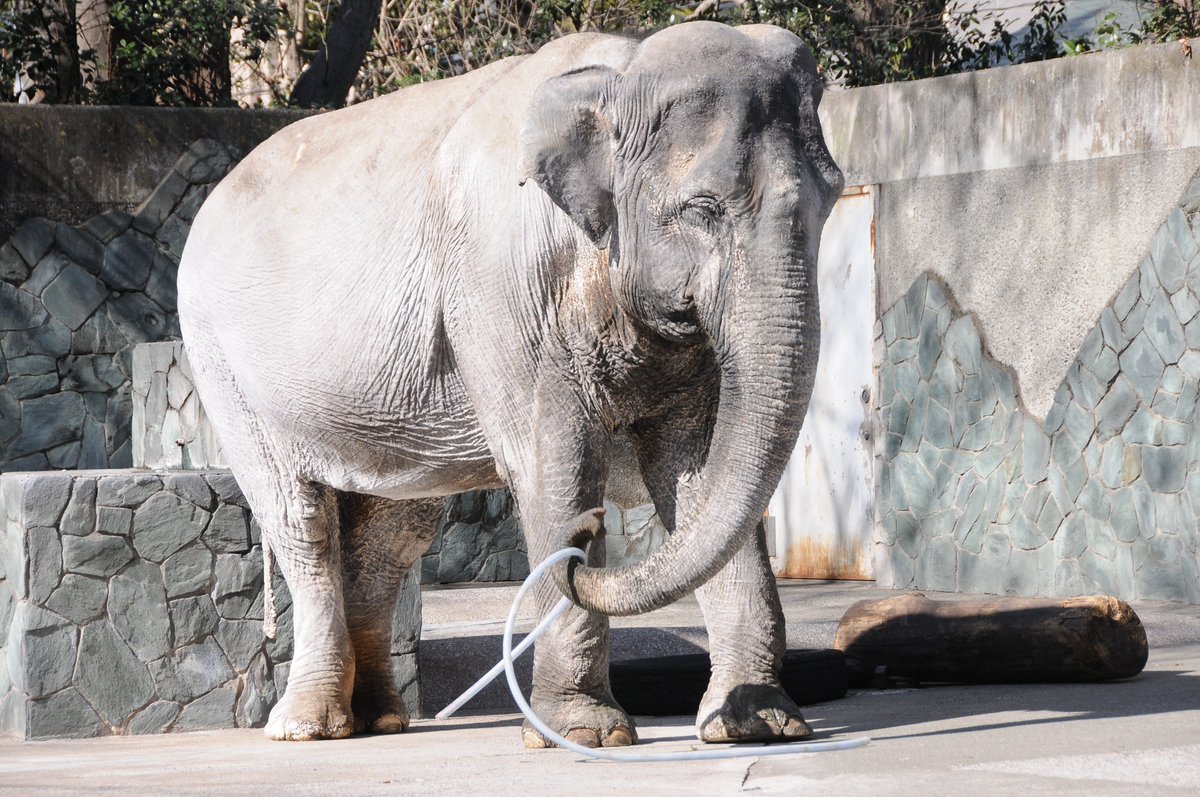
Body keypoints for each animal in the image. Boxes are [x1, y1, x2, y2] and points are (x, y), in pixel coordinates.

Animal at [177, 20, 843, 746]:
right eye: (701, 209)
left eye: (833, 198)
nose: (588, 544)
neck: (620, 75)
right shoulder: (501, 287)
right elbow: (552, 467)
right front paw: (586, 735)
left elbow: (695, 470)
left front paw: (759, 725)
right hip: (222, 366)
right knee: (301, 520)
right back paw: (309, 728)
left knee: (392, 534)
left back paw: (381, 720)